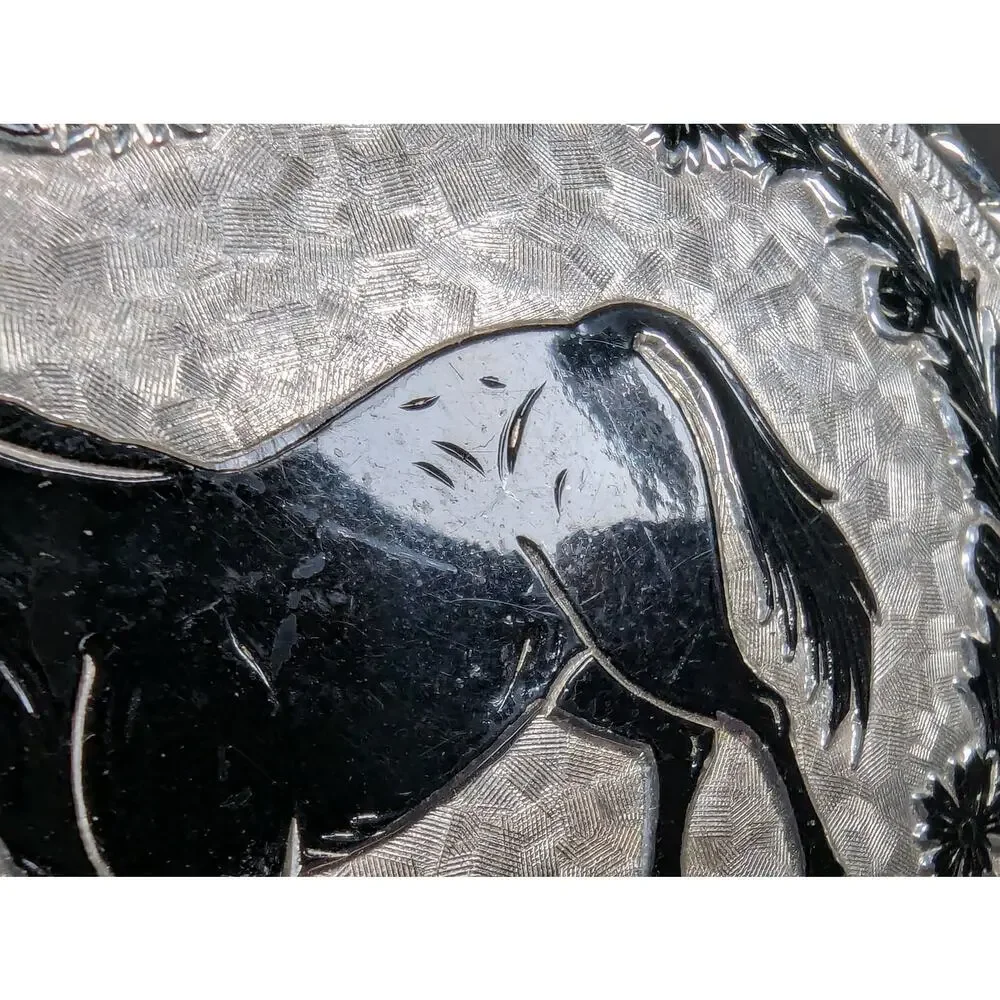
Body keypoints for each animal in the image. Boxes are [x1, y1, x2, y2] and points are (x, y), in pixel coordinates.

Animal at [0, 304, 876, 876]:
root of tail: (586, 338)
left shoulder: (229, 846)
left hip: (653, 620)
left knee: (757, 709)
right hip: (575, 673)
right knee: (681, 738)